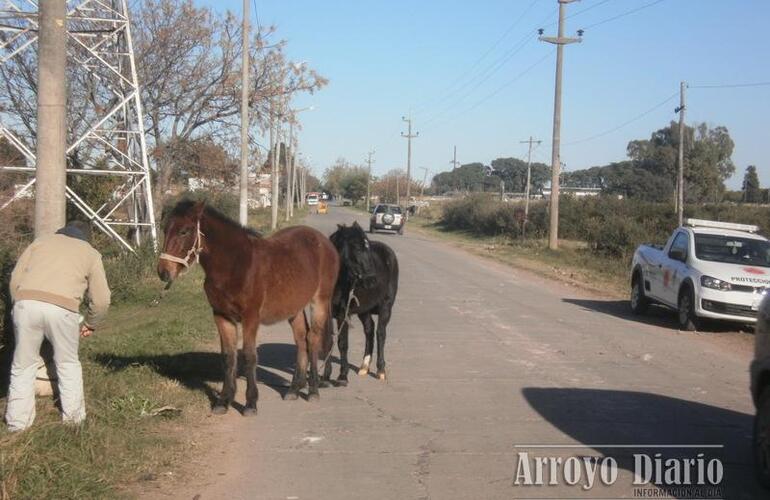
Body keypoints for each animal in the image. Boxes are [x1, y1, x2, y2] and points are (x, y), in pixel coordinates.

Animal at [155, 199, 336, 414]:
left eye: (185, 231)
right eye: (165, 229)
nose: (163, 272)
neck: (236, 265)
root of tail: (323, 241)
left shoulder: (251, 318)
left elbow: (249, 356)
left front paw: (250, 403)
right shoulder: (221, 316)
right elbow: (228, 356)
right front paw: (223, 401)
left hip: (320, 301)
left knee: (313, 339)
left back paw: (313, 390)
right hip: (295, 307)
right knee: (301, 339)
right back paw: (293, 389)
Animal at [322, 223, 396, 382]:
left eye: (367, 247)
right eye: (356, 247)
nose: (372, 280)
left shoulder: (343, 314)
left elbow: (342, 343)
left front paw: (343, 375)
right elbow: (328, 342)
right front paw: (325, 376)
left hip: (386, 307)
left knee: (380, 333)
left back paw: (381, 370)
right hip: (364, 310)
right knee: (369, 330)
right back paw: (364, 367)